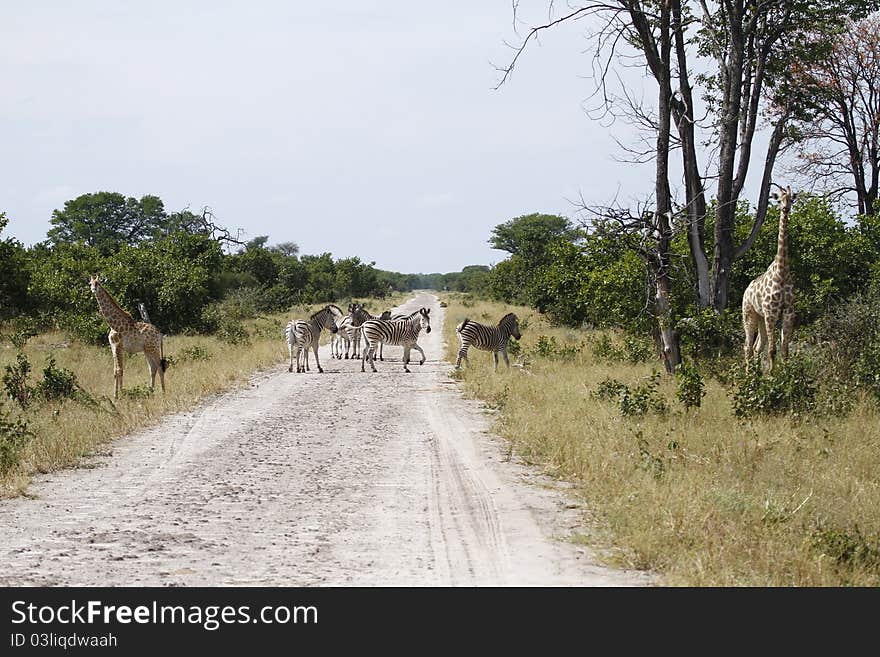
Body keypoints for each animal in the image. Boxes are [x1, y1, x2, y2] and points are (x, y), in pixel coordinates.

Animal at [744, 184, 796, 368]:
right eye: (779, 200)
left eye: (791, 199)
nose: (785, 208)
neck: (782, 271)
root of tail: (746, 291)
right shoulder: (771, 311)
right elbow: (773, 350)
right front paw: (774, 374)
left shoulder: (788, 310)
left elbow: (785, 350)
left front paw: (788, 373)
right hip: (749, 314)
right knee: (748, 346)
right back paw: (748, 374)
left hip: (760, 317)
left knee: (758, 346)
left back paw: (756, 373)